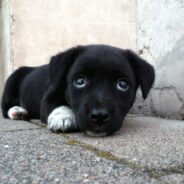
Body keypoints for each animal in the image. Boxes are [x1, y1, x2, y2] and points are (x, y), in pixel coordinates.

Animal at [1, 44, 154, 137]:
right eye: (79, 81)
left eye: (122, 84)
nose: (99, 116)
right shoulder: (48, 98)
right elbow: (58, 105)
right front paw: (63, 117)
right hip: (11, 81)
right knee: (5, 106)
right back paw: (17, 111)